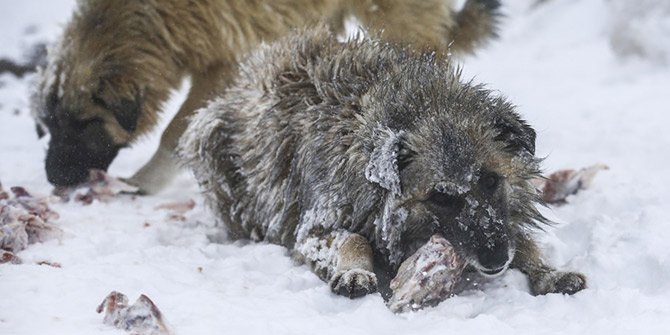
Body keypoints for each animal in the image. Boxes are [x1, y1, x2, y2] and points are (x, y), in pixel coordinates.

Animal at [31, 0, 504, 194]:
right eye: (48, 127)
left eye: (83, 125)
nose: (54, 179)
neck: (148, 21)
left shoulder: (223, 62)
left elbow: (175, 132)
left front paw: (146, 182)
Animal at [180, 27, 588, 302]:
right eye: (441, 197)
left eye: (490, 181)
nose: (496, 259)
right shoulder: (313, 227)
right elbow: (353, 238)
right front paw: (354, 270)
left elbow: (525, 242)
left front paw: (549, 271)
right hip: (207, 135)